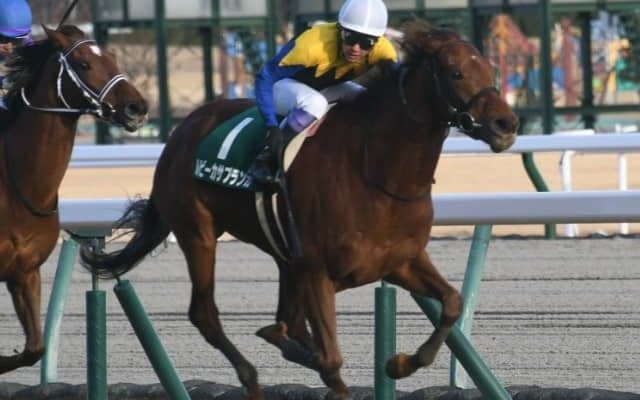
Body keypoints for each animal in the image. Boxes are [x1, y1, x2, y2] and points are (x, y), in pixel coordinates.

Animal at [80, 22, 517, 400]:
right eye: (456, 73)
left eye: (491, 68)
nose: (506, 124)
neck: (376, 173)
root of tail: (183, 130)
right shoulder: (318, 269)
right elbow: (330, 360)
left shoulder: (399, 261)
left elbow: (452, 303)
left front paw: (399, 363)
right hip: (197, 232)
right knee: (205, 313)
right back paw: (251, 377)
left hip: (282, 255)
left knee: (283, 316)